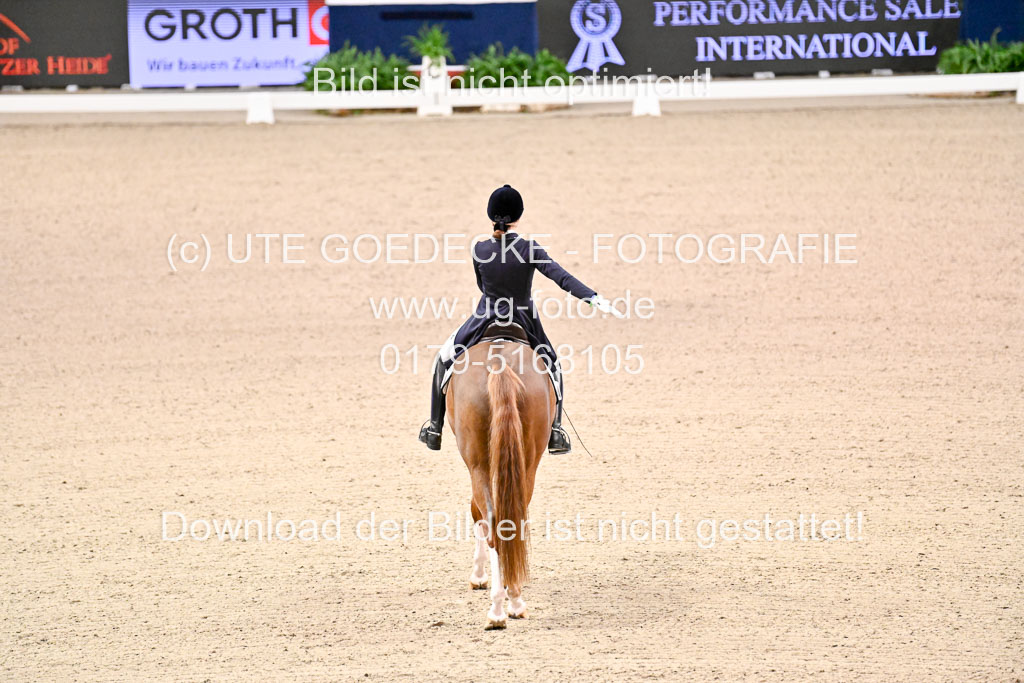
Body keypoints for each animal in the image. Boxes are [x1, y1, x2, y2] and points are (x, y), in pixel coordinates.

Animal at [445, 324, 554, 629]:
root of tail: (498, 365)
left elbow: (476, 513)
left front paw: (479, 577)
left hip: (479, 463)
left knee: (493, 520)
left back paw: (498, 609)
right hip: (527, 462)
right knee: (513, 520)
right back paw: (512, 600)